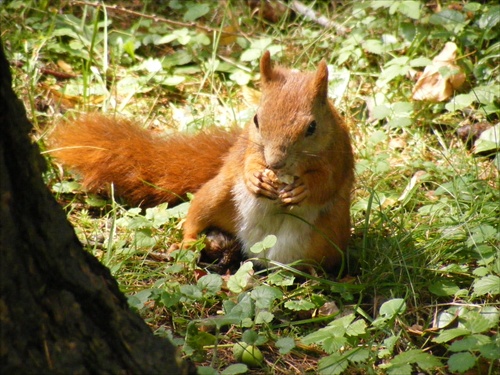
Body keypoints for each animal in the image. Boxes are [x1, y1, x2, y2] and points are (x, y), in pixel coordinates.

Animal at [50, 50, 354, 274]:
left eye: (312, 127)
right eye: (256, 119)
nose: (276, 163)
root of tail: (257, 251)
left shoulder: (338, 157)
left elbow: (326, 183)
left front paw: (303, 188)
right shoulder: (248, 145)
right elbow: (249, 160)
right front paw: (255, 176)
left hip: (328, 235)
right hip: (216, 195)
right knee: (195, 219)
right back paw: (187, 243)